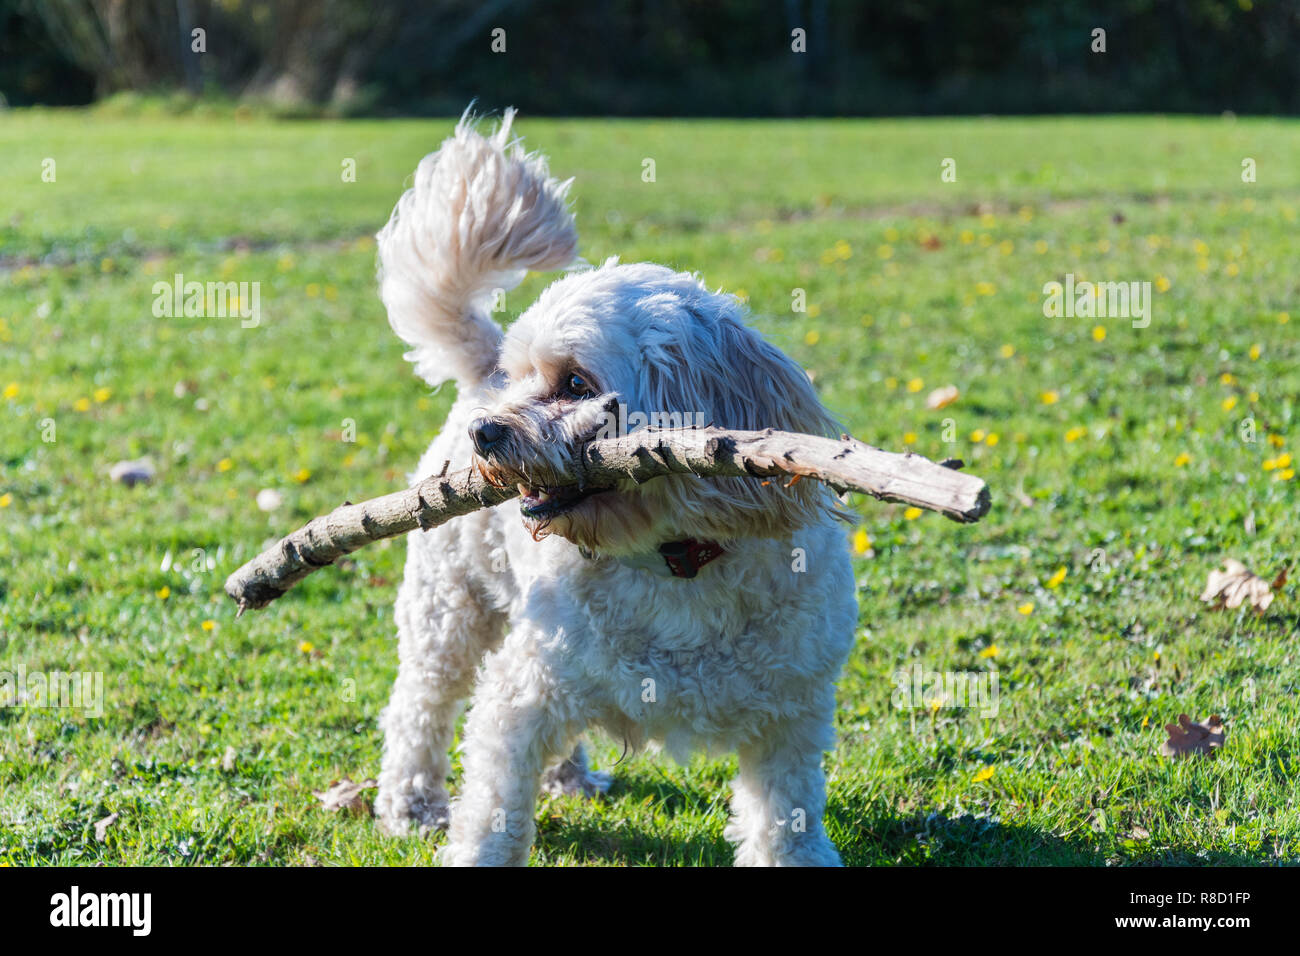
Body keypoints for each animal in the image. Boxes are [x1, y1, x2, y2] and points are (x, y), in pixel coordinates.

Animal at [371, 110, 857, 868]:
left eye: (576, 383)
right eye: (524, 377)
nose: (486, 431)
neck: (678, 559)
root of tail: (477, 373)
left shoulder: (790, 724)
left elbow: (786, 827)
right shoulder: (515, 700)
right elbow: (491, 815)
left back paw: (568, 776)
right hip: (449, 612)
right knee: (419, 707)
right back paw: (410, 803)